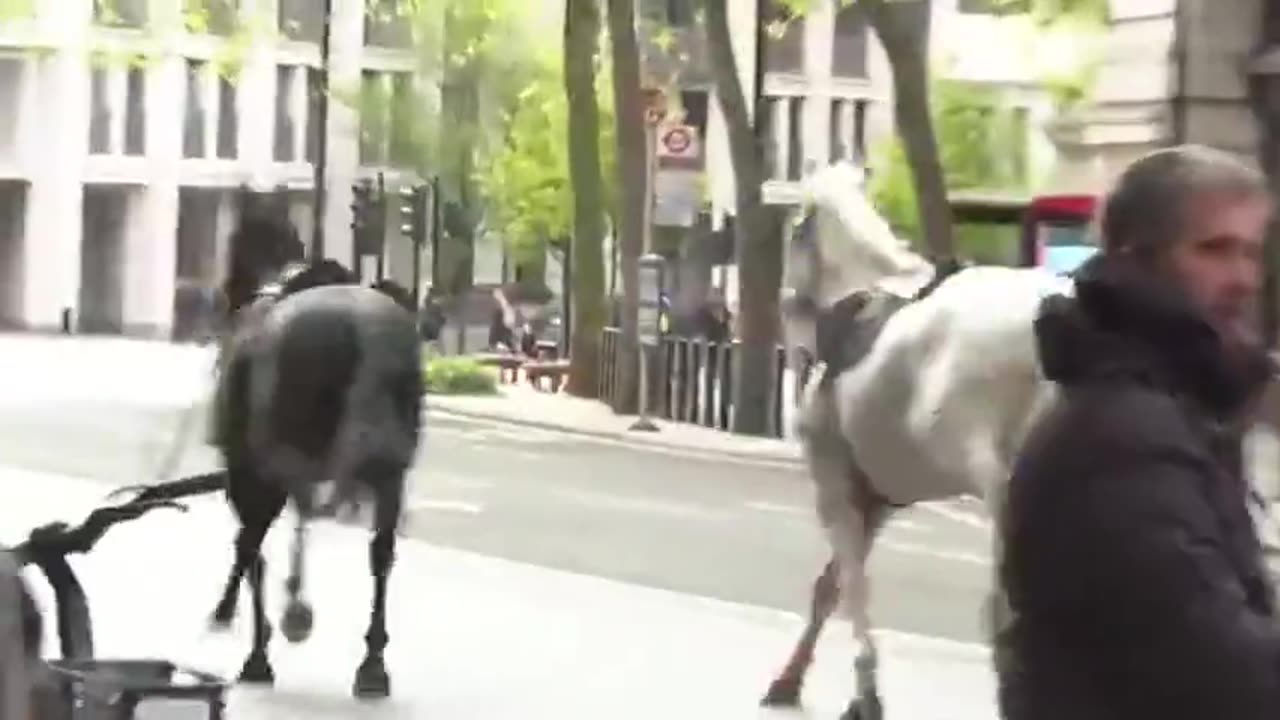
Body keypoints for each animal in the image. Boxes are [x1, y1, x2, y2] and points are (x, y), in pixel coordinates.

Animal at [207, 210, 422, 696]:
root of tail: (366, 334)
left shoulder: (248, 472)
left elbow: (252, 548)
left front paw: (254, 624)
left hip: (267, 467)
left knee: (257, 543)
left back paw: (262, 652)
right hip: (388, 469)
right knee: (381, 553)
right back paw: (372, 665)